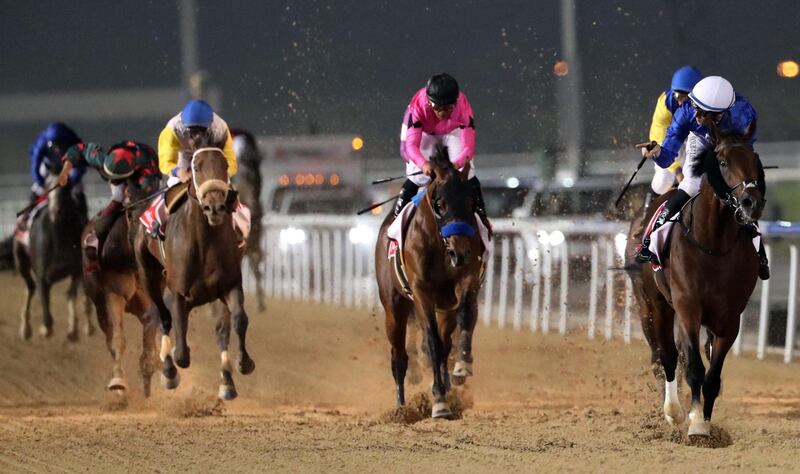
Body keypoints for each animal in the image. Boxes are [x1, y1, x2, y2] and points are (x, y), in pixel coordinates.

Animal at [13, 168, 91, 338]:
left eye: (67, 186)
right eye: (49, 185)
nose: (56, 211)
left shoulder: (76, 270)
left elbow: (71, 293)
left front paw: (73, 329)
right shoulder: (42, 275)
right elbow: (44, 297)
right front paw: (45, 327)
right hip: (21, 263)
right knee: (30, 288)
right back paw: (25, 329)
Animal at [83, 183, 160, 398]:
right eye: (131, 214)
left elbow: (152, 324)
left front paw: (150, 368)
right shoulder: (112, 295)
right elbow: (117, 339)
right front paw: (118, 381)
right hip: (100, 307)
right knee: (109, 334)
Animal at [134, 147, 253, 400]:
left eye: (225, 166)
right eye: (196, 167)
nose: (215, 207)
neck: (205, 242)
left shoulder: (229, 284)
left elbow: (237, 320)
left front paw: (243, 364)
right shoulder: (179, 292)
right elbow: (181, 352)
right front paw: (170, 369)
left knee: (220, 330)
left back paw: (226, 381)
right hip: (149, 276)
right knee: (164, 318)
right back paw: (168, 372)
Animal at [376, 145, 482, 418]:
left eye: (471, 202)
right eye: (440, 204)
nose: (460, 252)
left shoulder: (466, 279)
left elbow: (465, 315)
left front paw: (462, 366)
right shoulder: (421, 290)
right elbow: (431, 341)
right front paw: (439, 401)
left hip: (443, 307)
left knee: (445, 344)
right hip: (394, 308)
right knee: (399, 357)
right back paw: (401, 407)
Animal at [624, 125, 764, 436]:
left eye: (756, 159)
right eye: (722, 162)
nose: (751, 203)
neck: (713, 243)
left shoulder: (729, 318)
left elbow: (712, 374)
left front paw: (704, 421)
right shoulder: (688, 307)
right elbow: (693, 367)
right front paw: (694, 422)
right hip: (653, 304)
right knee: (666, 356)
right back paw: (673, 410)